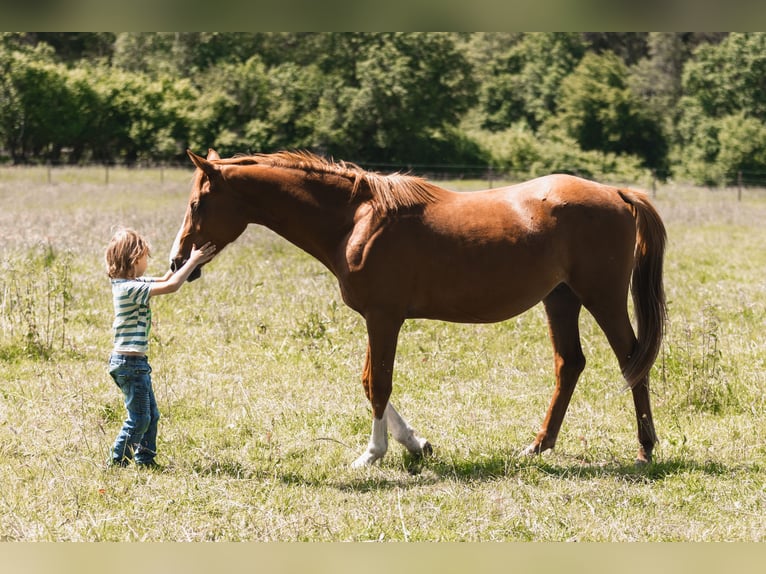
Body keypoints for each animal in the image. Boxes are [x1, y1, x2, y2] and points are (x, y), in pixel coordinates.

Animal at [172, 151, 664, 470]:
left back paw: (644, 449)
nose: (178, 262)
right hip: (560, 299)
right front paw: (416, 443)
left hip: (601, 298)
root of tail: (617, 193)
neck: (357, 220)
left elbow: (378, 384)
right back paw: (538, 447)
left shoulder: (383, 317)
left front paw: (372, 454)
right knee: (570, 364)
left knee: (632, 361)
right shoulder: (376, 319)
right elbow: (369, 381)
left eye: (197, 203)